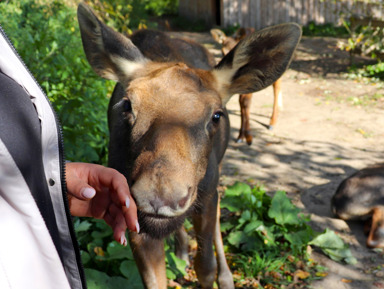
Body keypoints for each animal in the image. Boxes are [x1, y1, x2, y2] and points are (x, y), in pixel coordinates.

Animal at [76, 3, 302, 286]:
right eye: (127, 105)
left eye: (217, 115)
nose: (161, 196)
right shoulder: (131, 212)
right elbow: (155, 279)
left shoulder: (206, 193)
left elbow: (205, 266)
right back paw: (182, 252)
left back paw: (225, 277)